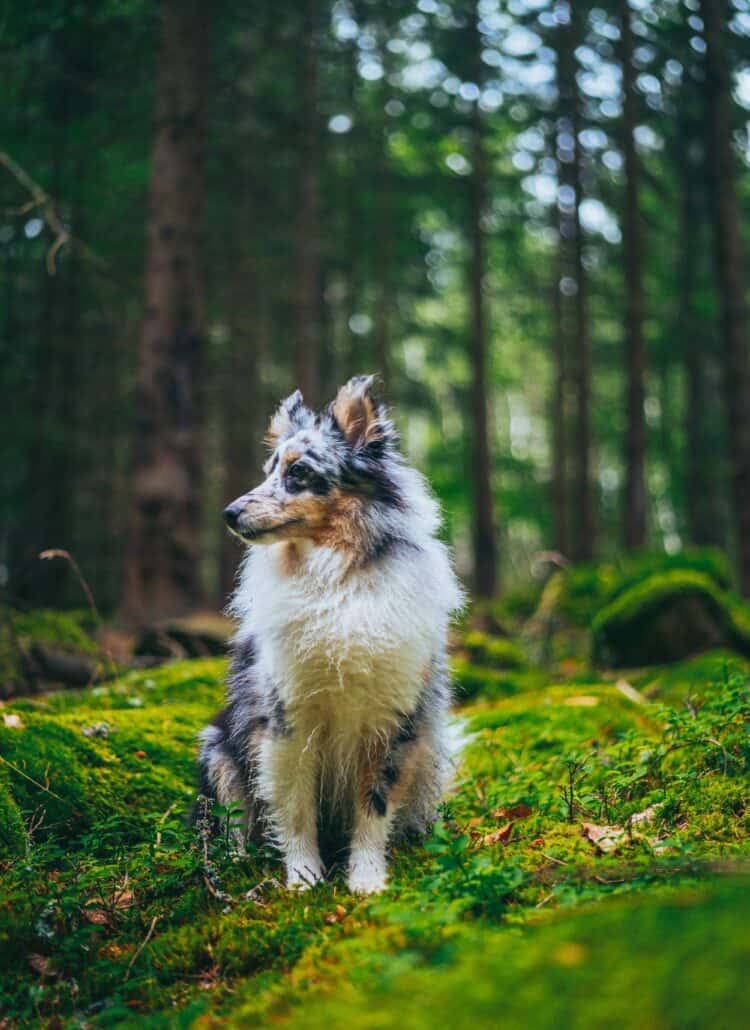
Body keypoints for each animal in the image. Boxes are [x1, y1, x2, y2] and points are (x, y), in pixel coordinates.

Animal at [196, 374, 459, 889]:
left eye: (298, 473)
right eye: (268, 470)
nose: (229, 514)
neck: (338, 576)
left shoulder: (391, 724)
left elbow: (374, 808)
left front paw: (367, 879)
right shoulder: (286, 723)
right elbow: (295, 810)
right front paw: (303, 879)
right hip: (218, 750)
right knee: (235, 822)